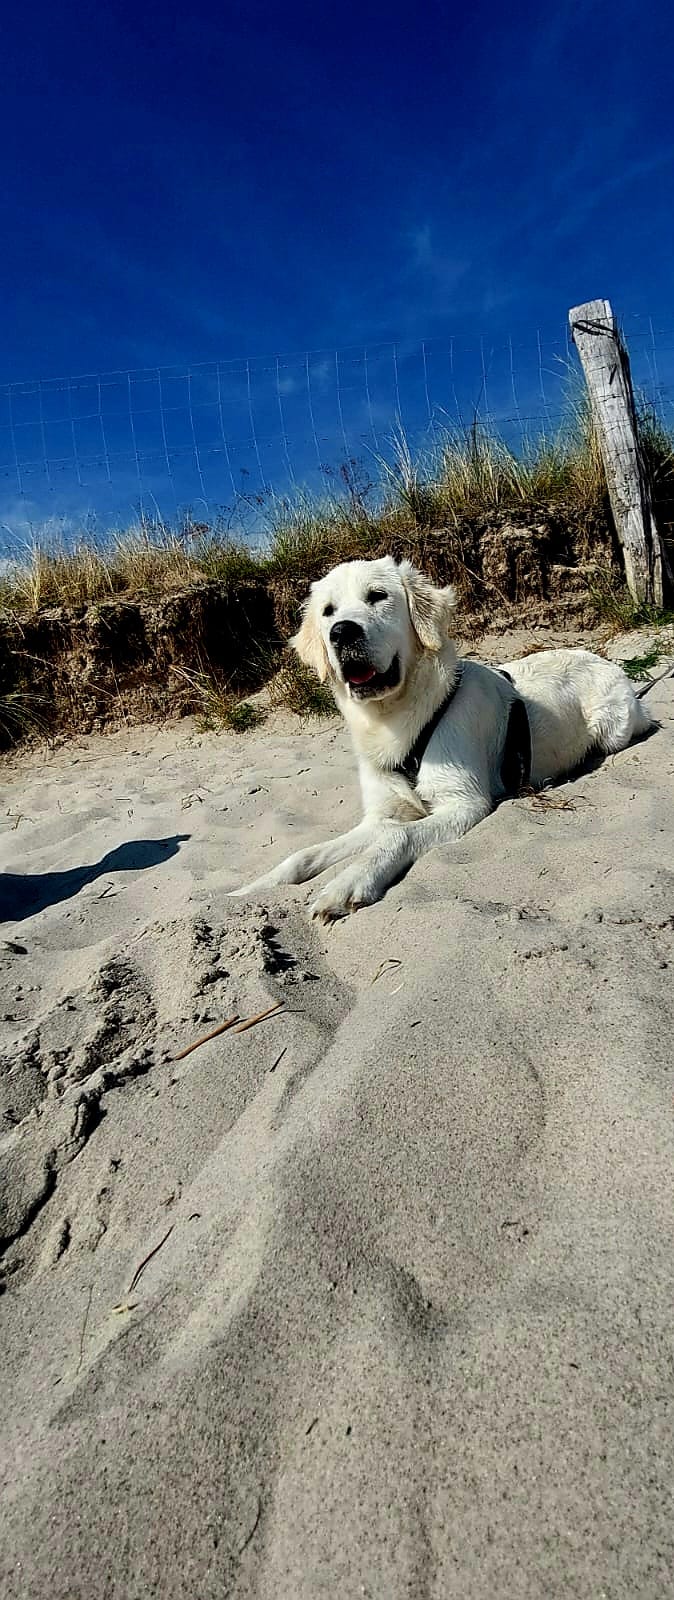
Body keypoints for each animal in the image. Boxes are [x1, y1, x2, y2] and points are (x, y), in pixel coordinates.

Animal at [230, 556, 649, 921]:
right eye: (328, 611)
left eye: (377, 596)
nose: (342, 632)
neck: (399, 722)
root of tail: (602, 658)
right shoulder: (382, 815)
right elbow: (302, 856)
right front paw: (246, 892)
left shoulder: (464, 804)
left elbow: (397, 838)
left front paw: (349, 882)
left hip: (614, 727)